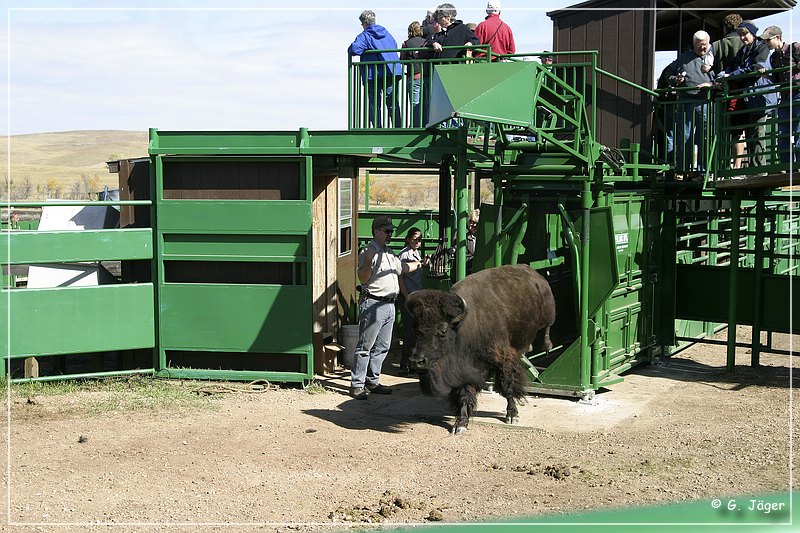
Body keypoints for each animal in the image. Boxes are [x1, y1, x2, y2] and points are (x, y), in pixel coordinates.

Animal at [406, 264, 556, 434]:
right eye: (415, 329)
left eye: (443, 330)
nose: (417, 361)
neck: (463, 326)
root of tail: (533, 273)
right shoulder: (464, 369)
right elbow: (464, 394)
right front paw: (460, 424)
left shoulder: (503, 359)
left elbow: (507, 386)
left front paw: (512, 415)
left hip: (549, 315)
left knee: (547, 328)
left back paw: (546, 344)